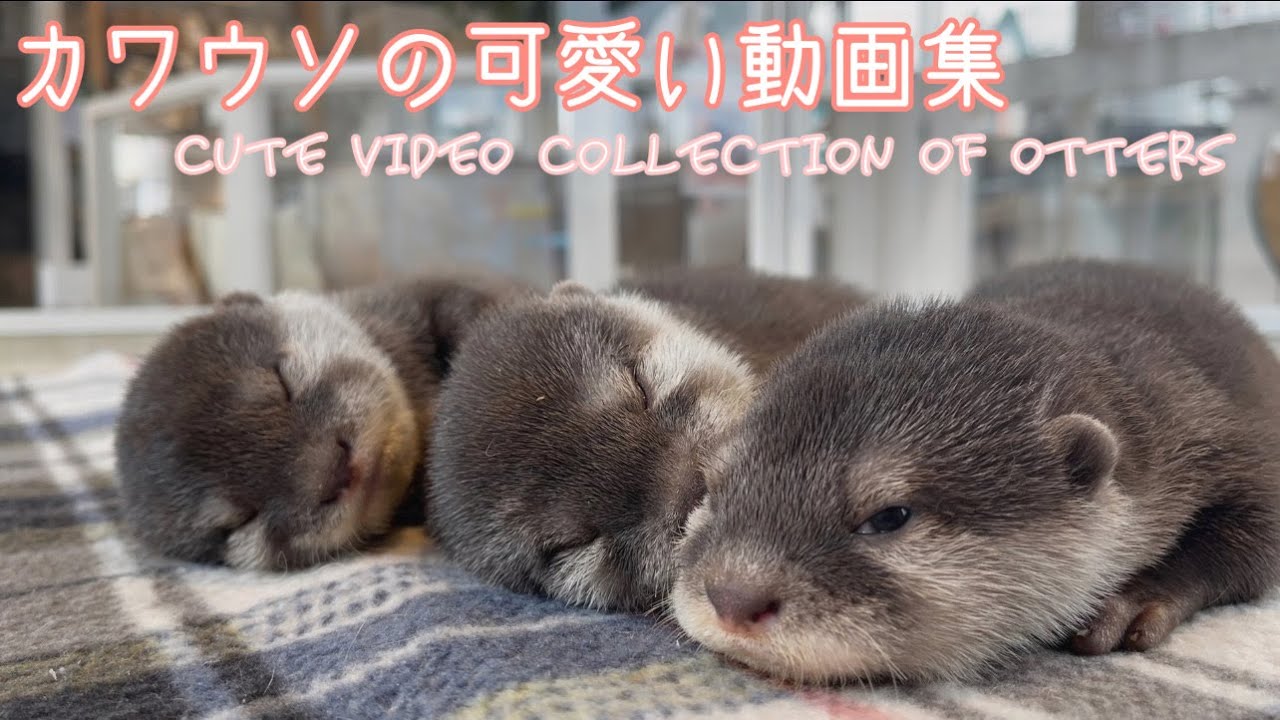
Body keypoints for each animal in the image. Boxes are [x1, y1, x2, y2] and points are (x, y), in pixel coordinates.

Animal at [671, 258, 1280, 685]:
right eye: (713, 489)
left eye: (890, 516)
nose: (734, 597)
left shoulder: (1209, 431)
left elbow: (1258, 539)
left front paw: (1136, 597)